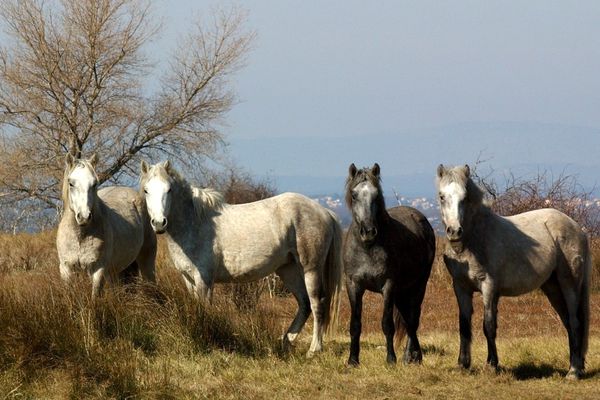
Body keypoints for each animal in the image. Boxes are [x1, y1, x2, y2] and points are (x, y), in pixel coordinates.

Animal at [56, 154, 157, 296]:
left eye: (94, 183)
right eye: (71, 183)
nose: (84, 217)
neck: (80, 236)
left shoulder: (99, 269)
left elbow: (95, 295)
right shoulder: (66, 269)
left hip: (146, 260)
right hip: (116, 271)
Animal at [140, 161, 342, 354]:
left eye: (169, 189)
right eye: (146, 190)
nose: (159, 223)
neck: (195, 223)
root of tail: (324, 212)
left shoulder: (204, 279)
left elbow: (205, 308)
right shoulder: (188, 278)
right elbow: (196, 306)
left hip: (311, 269)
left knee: (317, 304)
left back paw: (314, 349)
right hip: (288, 270)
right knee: (304, 304)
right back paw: (286, 342)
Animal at [342, 163, 436, 366]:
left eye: (377, 194)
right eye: (354, 195)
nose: (369, 232)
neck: (368, 248)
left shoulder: (388, 285)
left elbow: (387, 324)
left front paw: (391, 359)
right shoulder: (353, 285)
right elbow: (355, 324)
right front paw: (353, 360)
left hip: (418, 286)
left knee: (413, 319)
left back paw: (411, 356)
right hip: (402, 291)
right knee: (408, 320)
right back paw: (413, 355)